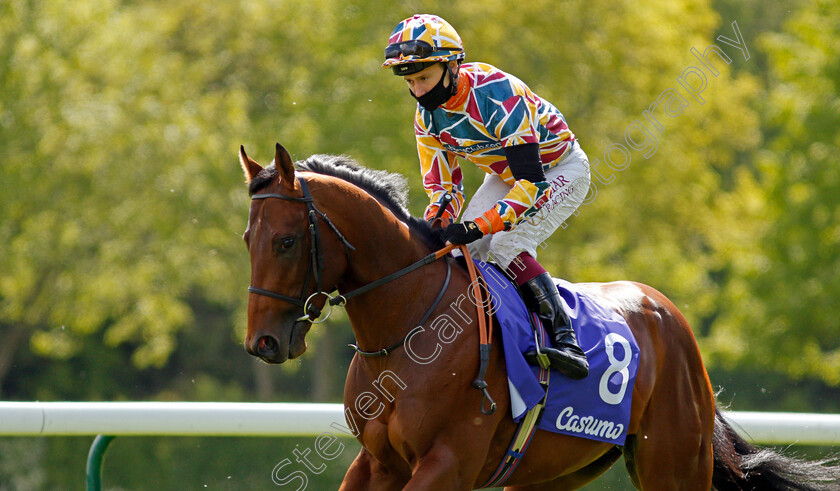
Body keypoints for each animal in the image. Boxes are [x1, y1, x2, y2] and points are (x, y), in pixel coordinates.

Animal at [238, 141, 840, 488]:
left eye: (286, 242)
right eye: (248, 238)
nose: (262, 343)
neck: (409, 329)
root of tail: (671, 317)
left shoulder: (447, 461)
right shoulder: (377, 463)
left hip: (674, 464)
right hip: (553, 472)